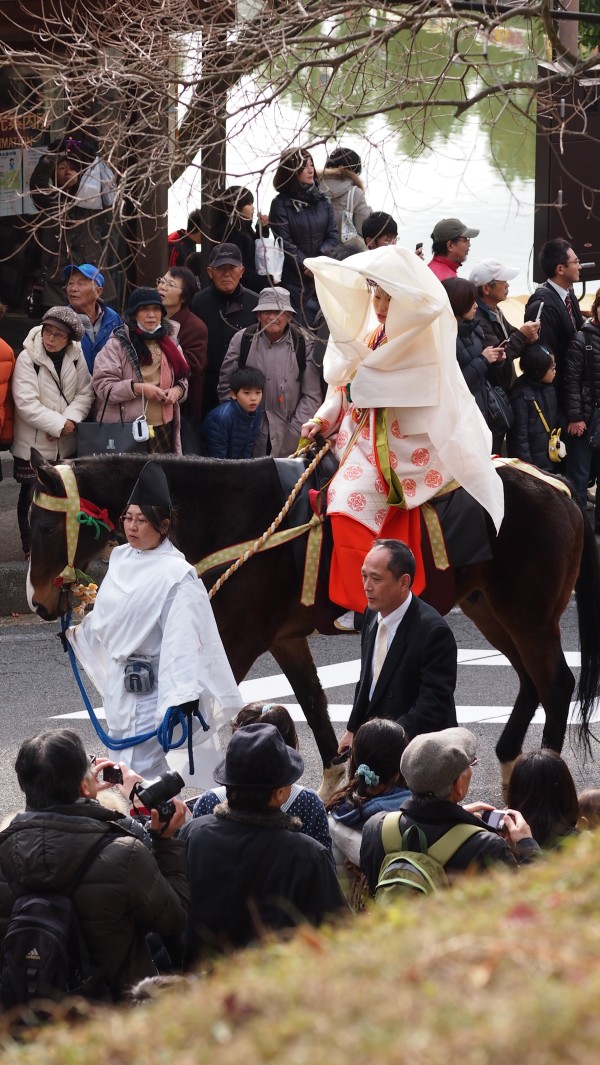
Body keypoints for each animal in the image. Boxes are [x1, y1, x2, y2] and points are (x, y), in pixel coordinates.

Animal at [27, 449, 600, 783]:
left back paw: (540, 774)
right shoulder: (283, 638)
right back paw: (510, 762)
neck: (232, 513)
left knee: (555, 683)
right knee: (530, 681)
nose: (38, 602)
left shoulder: (239, 638)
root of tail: (558, 485)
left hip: (527, 612)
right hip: (491, 609)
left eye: (45, 527)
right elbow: (317, 712)